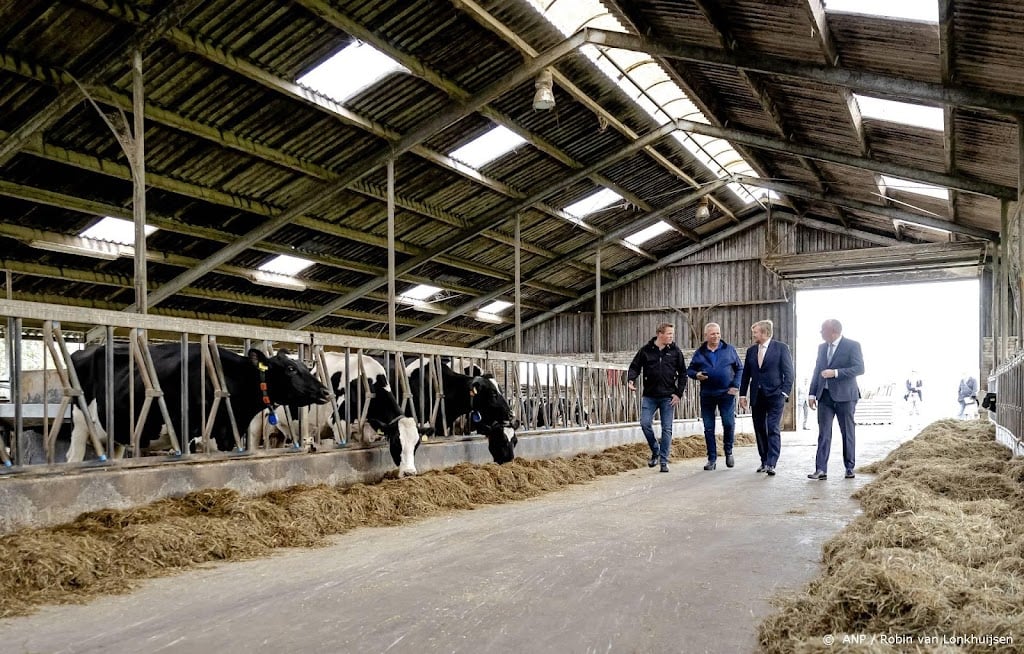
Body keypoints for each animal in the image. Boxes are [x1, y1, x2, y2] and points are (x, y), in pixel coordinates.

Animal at [67, 345, 327, 462]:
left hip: (115, 435)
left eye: (306, 367)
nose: (325, 391)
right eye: (291, 369)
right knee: (73, 456)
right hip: (80, 425)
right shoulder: (192, 433)